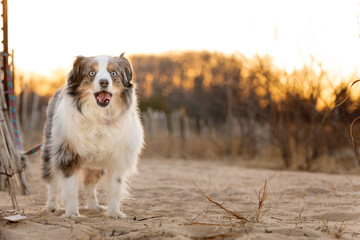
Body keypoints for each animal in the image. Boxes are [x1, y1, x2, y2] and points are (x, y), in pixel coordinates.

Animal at [40, 53, 143, 218]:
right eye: (91, 73)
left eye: (113, 73)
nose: (104, 82)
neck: (99, 115)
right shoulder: (67, 154)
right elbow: (70, 190)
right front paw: (72, 214)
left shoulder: (117, 157)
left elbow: (114, 189)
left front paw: (114, 213)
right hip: (49, 150)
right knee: (52, 180)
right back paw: (51, 206)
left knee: (90, 182)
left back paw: (94, 206)